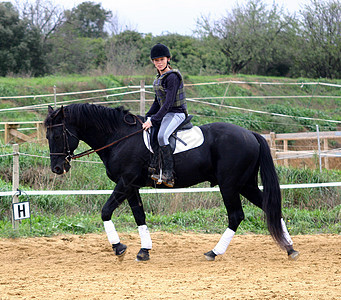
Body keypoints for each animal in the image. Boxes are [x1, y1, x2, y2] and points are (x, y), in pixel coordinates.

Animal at [44, 103, 298, 262]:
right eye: (47, 136)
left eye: (57, 135)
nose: (57, 168)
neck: (118, 137)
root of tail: (250, 134)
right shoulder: (132, 186)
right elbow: (140, 216)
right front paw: (144, 251)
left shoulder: (125, 183)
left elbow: (105, 211)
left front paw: (119, 248)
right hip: (246, 185)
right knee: (271, 208)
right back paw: (290, 249)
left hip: (229, 186)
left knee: (236, 216)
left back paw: (214, 252)